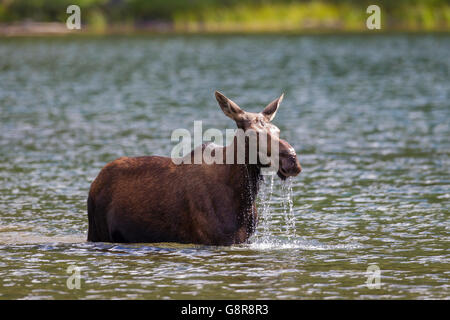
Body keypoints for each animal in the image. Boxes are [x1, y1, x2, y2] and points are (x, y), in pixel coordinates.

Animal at [86, 91, 300, 246]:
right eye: (253, 134)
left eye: (277, 130)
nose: (292, 160)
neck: (241, 198)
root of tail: (95, 182)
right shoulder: (213, 239)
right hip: (97, 232)